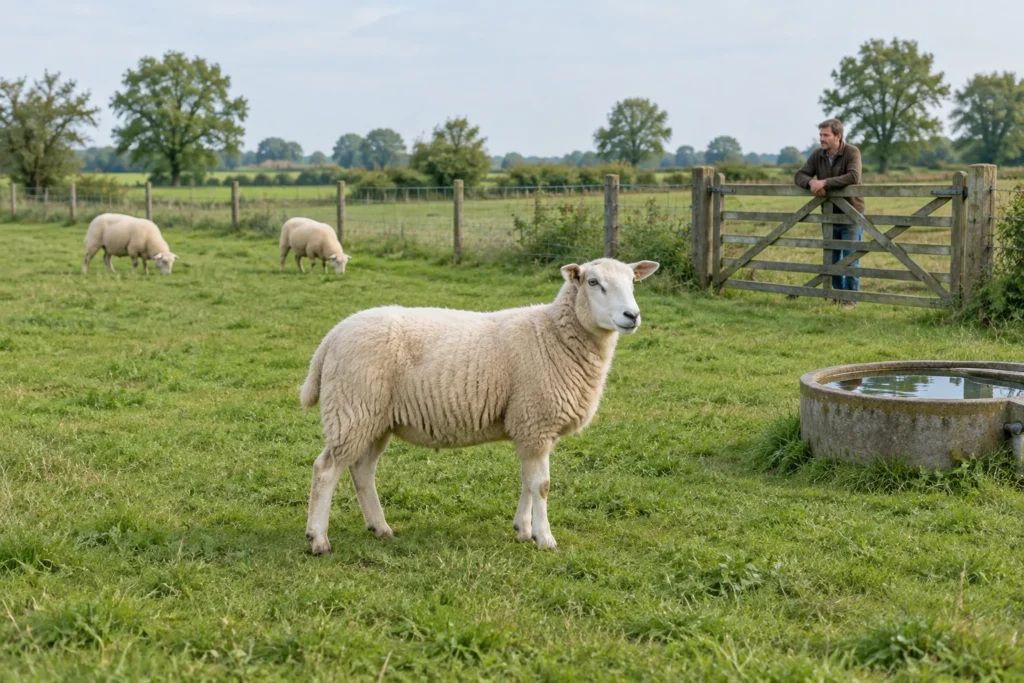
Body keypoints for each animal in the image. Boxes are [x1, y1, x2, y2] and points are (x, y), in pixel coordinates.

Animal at [299, 257, 660, 554]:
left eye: (633, 281)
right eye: (593, 282)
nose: (632, 315)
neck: (553, 335)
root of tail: (332, 337)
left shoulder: (529, 426)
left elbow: (527, 482)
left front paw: (523, 530)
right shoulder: (535, 420)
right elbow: (541, 486)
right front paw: (545, 539)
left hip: (374, 419)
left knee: (362, 470)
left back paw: (380, 528)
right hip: (352, 408)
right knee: (326, 469)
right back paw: (319, 540)